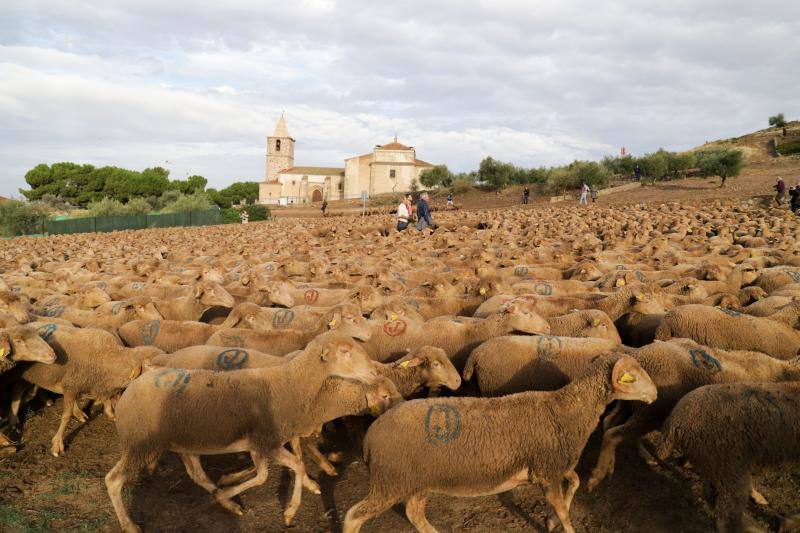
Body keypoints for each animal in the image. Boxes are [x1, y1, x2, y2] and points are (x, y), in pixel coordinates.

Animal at [104, 330, 380, 528]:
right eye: (344, 351)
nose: (373, 372)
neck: (290, 383)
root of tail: (131, 387)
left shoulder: (261, 444)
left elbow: (273, 472)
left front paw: (228, 491)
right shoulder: (265, 442)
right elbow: (290, 467)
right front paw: (290, 511)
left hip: (181, 443)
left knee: (197, 474)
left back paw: (227, 503)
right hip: (141, 444)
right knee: (113, 480)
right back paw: (129, 525)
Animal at [342, 354, 656, 532]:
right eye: (632, 377)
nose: (654, 394)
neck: (566, 410)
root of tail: (372, 435)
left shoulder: (551, 467)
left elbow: (575, 483)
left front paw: (551, 521)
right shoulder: (547, 471)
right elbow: (564, 510)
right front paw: (560, 522)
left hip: (417, 482)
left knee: (413, 513)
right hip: (390, 482)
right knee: (353, 517)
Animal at [656, 382, 800, 532]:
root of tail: (673, 421)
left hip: (712, 460)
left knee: (711, 496)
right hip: (728, 463)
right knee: (727, 511)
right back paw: (750, 527)